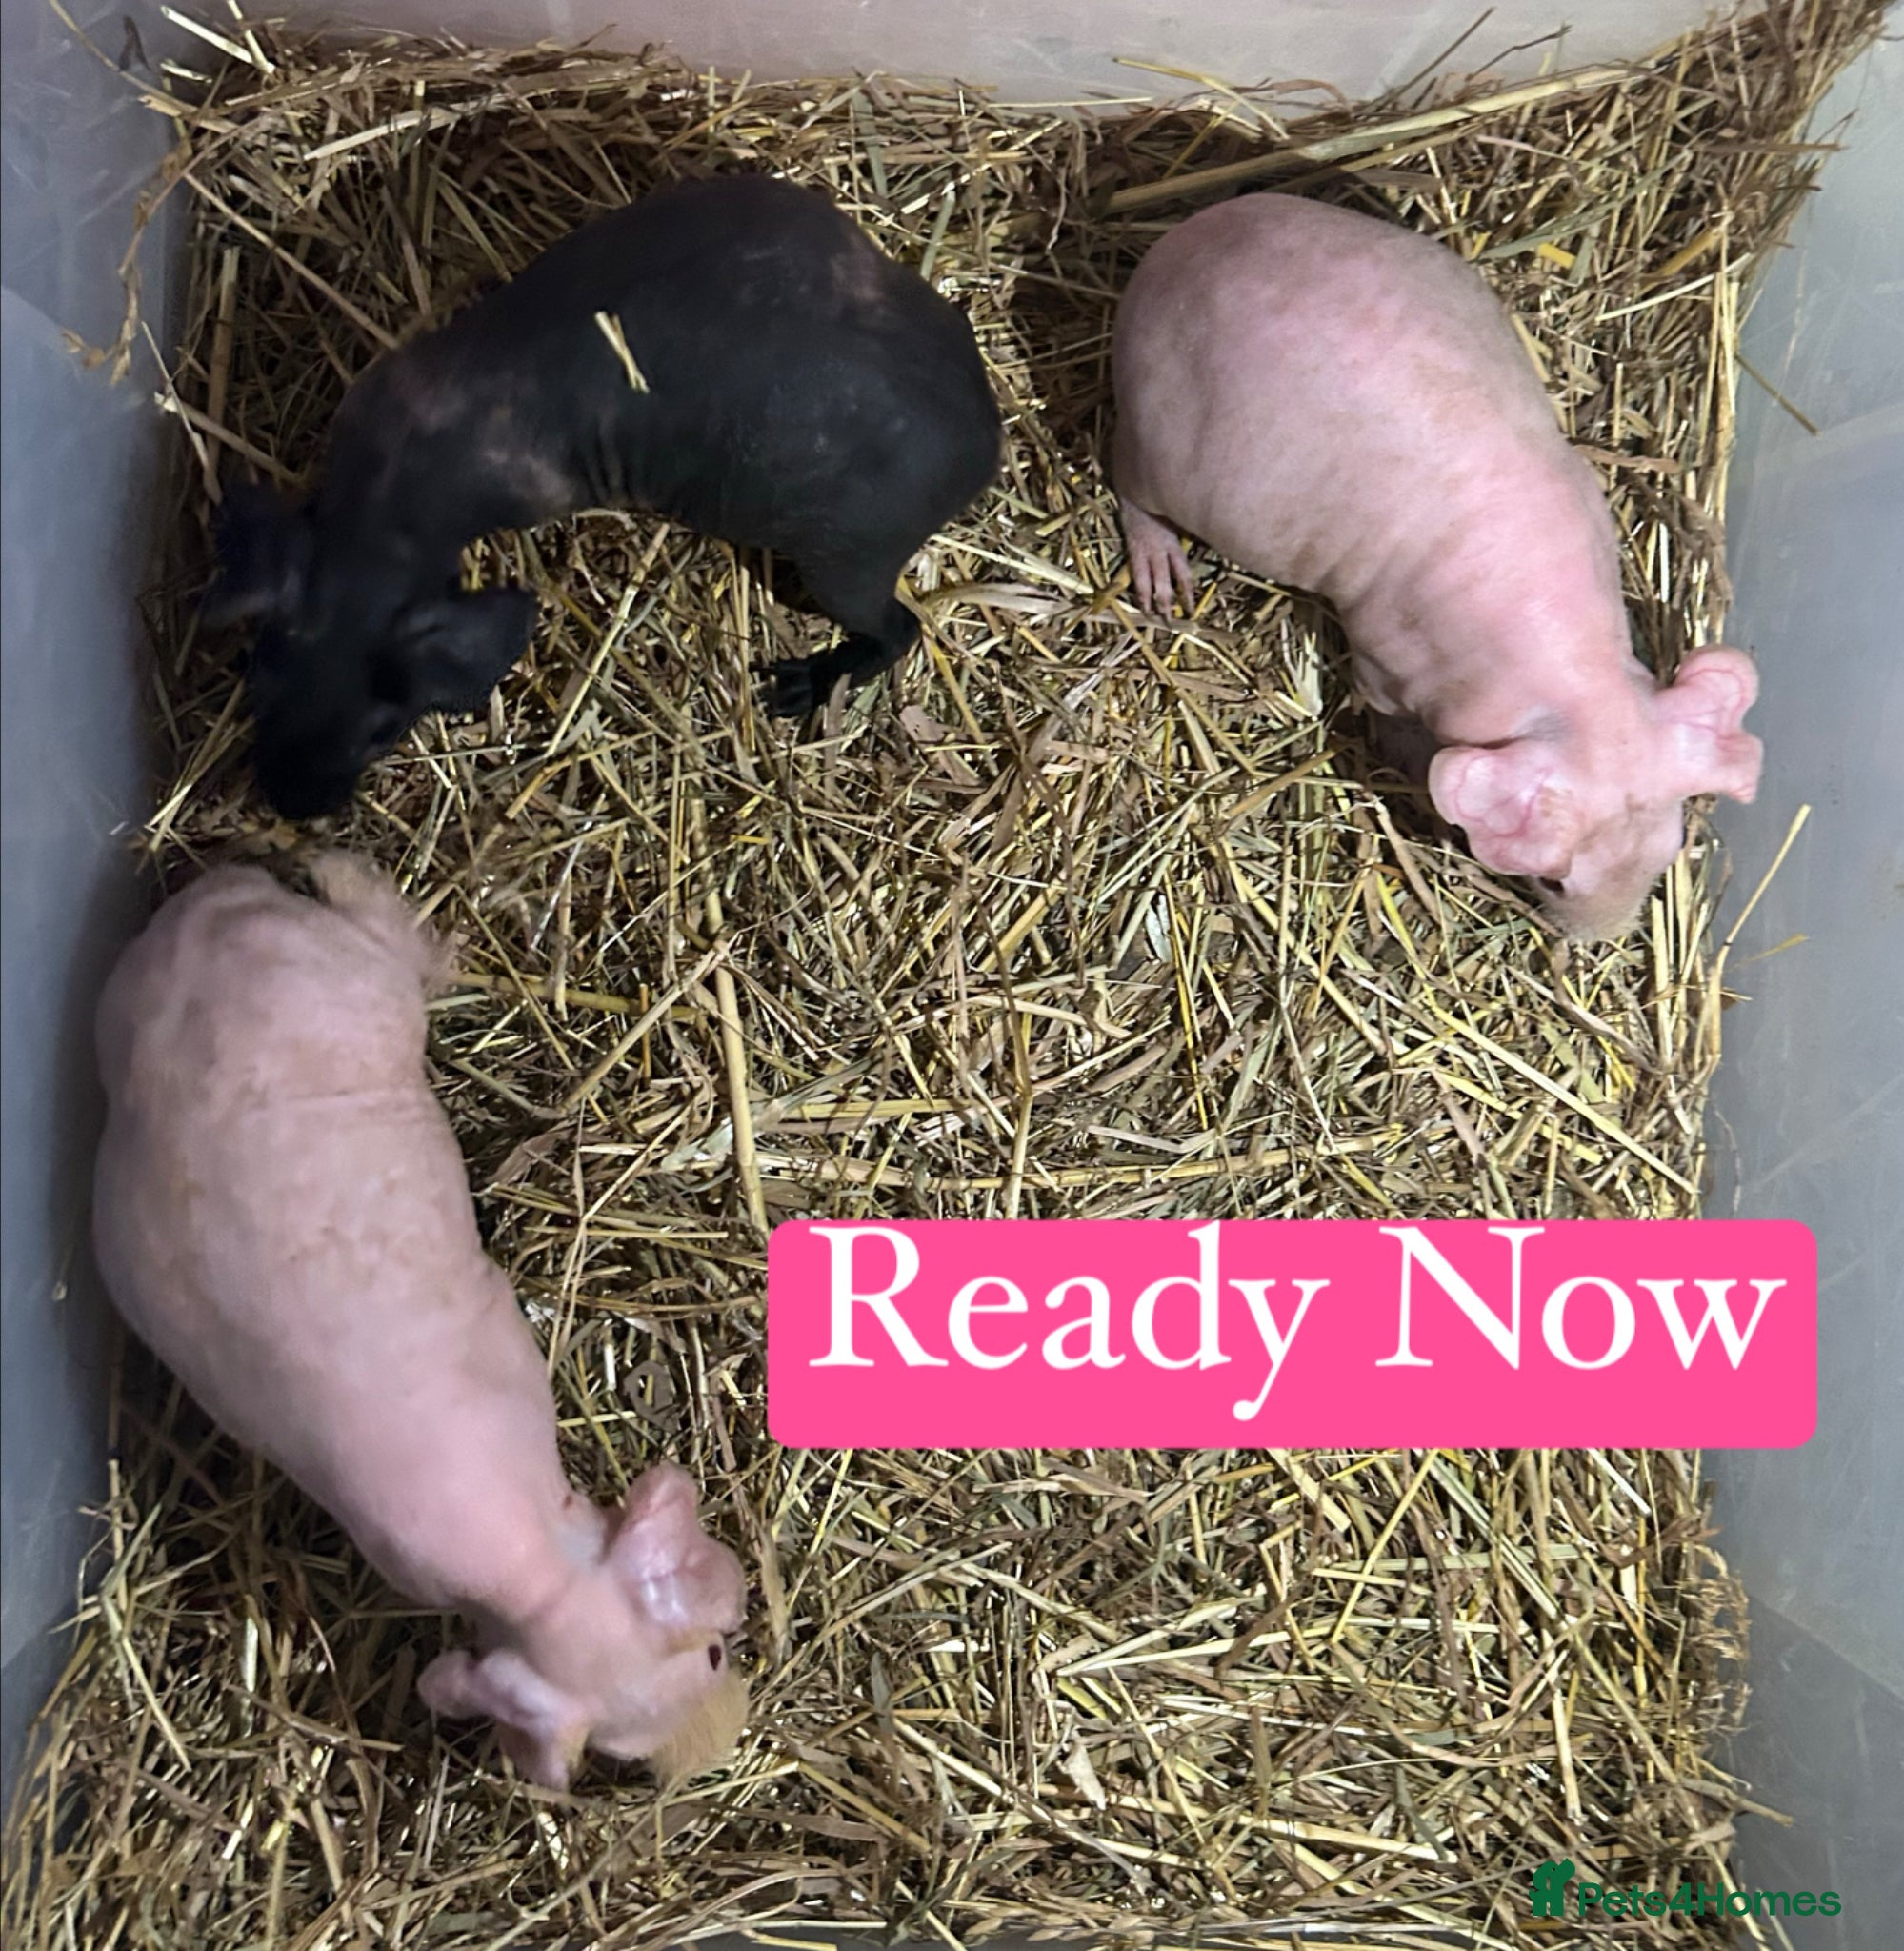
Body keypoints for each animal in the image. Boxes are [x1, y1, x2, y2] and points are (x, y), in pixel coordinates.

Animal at [90, 855, 748, 1790]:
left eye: (715, 1655)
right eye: (620, 1755)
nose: (726, 1745)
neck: (529, 1565)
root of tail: (211, 914)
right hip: (354, 979)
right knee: (370, 923)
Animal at [208, 171, 1003, 818]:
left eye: (384, 731)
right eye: (257, 680)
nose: (292, 807)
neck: (389, 499)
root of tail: (987, 438)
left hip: (842, 561)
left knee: (899, 629)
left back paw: (813, 682)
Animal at [1111, 192, 1763, 939]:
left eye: (1671, 845)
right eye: (1551, 879)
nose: (1601, 940)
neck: (1575, 679)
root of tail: (1173, 247)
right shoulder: (1385, 655)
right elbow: (1382, 712)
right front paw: (1406, 762)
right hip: (1163, 441)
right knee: (1127, 479)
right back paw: (1160, 573)